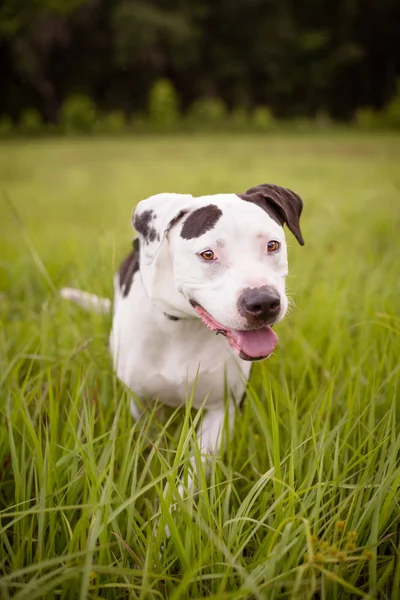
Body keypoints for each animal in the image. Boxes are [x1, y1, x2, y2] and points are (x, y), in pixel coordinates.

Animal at [60, 183, 304, 482]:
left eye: (272, 245)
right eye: (208, 254)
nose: (264, 302)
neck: (183, 325)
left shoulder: (222, 409)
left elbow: (194, 473)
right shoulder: (142, 404)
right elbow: (152, 445)